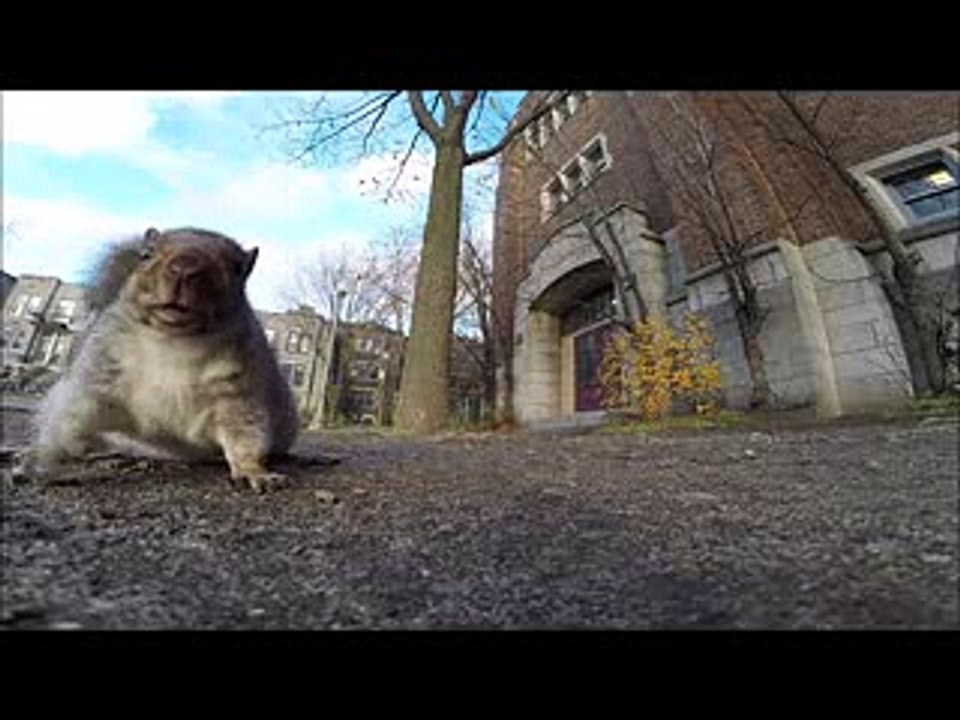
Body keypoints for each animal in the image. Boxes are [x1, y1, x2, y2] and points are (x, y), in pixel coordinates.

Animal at [17, 227, 300, 493]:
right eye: (146, 254)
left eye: (237, 270)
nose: (184, 267)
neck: (175, 341)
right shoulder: (99, 372)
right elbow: (68, 422)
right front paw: (38, 461)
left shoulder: (237, 392)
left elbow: (245, 434)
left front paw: (254, 472)